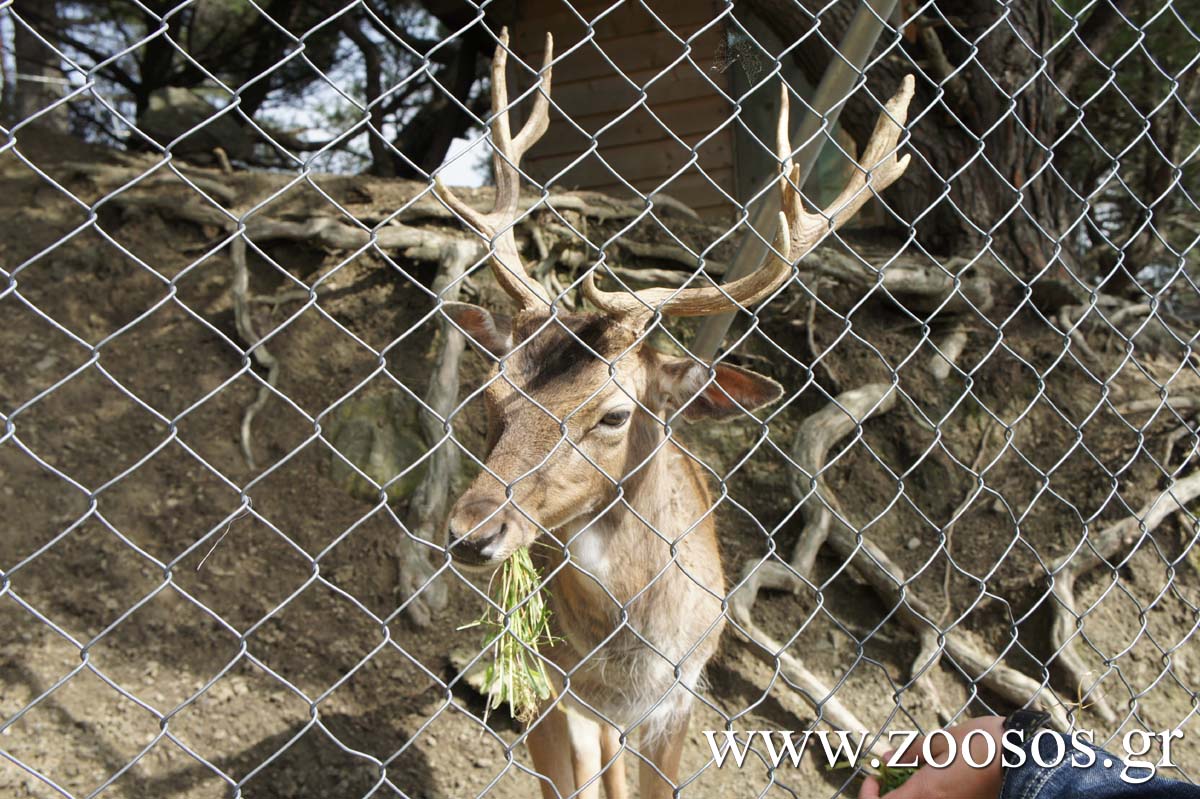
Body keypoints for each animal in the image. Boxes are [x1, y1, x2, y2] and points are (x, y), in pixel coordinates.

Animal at [436, 28, 912, 791]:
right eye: (491, 395)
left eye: (612, 415)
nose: (470, 532)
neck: (627, 665)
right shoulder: (550, 690)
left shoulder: (681, 694)